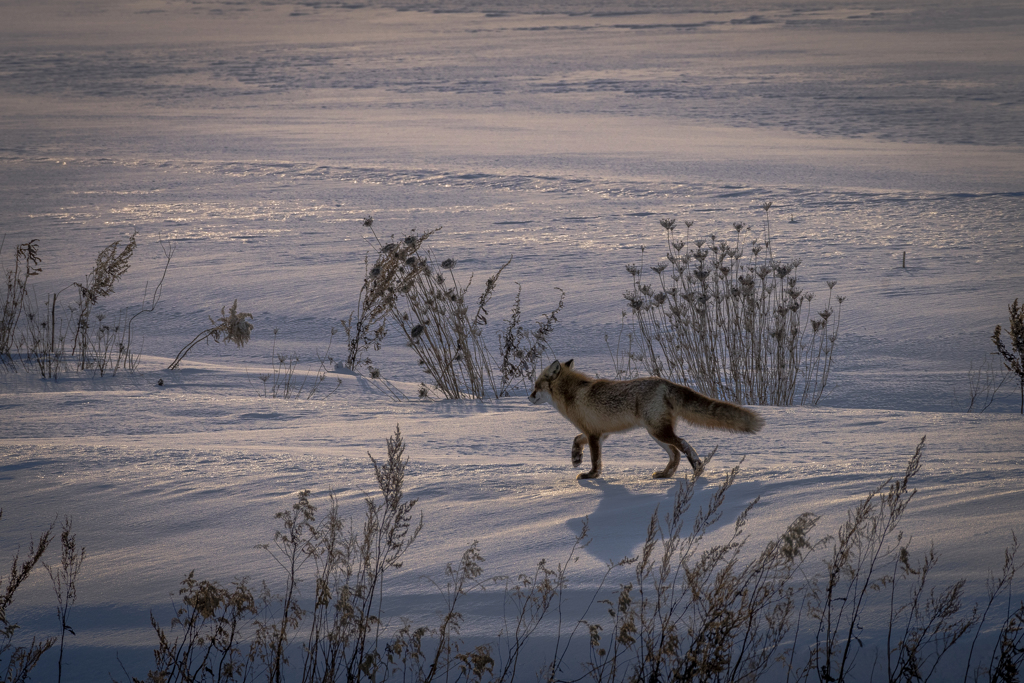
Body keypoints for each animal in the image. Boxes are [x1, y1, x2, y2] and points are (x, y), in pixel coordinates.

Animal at [532, 360, 765, 479]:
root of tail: (665, 382)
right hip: (656, 434)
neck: (572, 395)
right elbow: (576, 439)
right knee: (675, 455)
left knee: (684, 445)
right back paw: (665, 474)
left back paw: (697, 468)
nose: (529, 397)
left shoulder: (594, 434)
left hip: (658, 432)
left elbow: (595, 460)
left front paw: (591, 475)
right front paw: (575, 458)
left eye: (536, 386)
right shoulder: (600, 433)